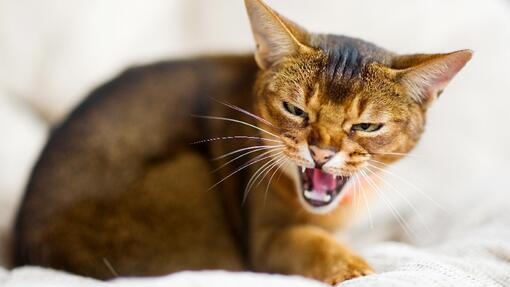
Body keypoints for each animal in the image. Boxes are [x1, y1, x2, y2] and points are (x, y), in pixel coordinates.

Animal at [11, 0, 472, 284]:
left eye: (367, 127)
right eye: (295, 109)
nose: (321, 153)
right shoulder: (266, 238)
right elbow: (310, 243)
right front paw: (356, 269)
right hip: (189, 176)